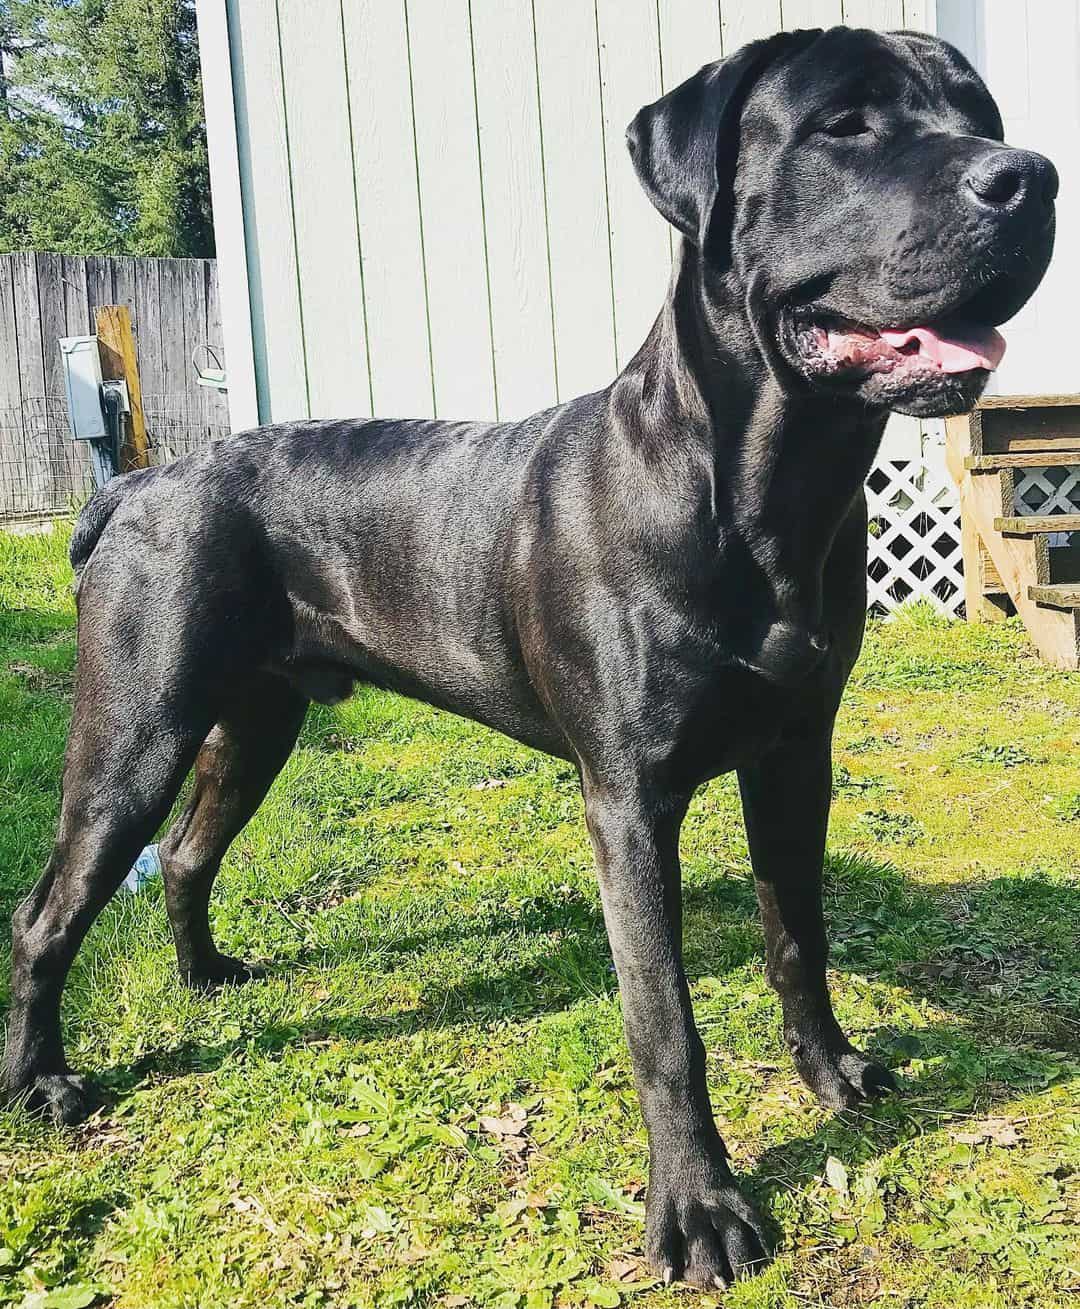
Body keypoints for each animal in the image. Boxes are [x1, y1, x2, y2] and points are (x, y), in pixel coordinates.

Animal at [6, 25, 1052, 1293]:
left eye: (980, 114)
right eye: (844, 125)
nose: (1029, 177)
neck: (764, 481)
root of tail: (137, 483)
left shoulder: (797, 755)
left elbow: (797, 933)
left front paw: (833, 1071)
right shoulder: (629, 799)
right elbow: (665, 1021)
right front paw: (700, 1208)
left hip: (255, 721)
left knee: (190, 852)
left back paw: (206, 977)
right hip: (136, 731)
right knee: (50, 912)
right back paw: (43, 1082)